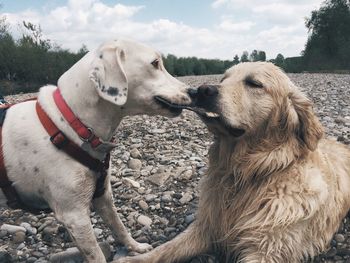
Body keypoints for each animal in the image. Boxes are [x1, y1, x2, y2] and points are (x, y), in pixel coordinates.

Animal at [0, 39, 191, 263]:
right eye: (155, 63)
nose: (193, 91)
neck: (71, 124)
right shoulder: (75, 216)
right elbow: (96, 255)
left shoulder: (103, 196)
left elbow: (119, 226)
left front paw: (136, 247)